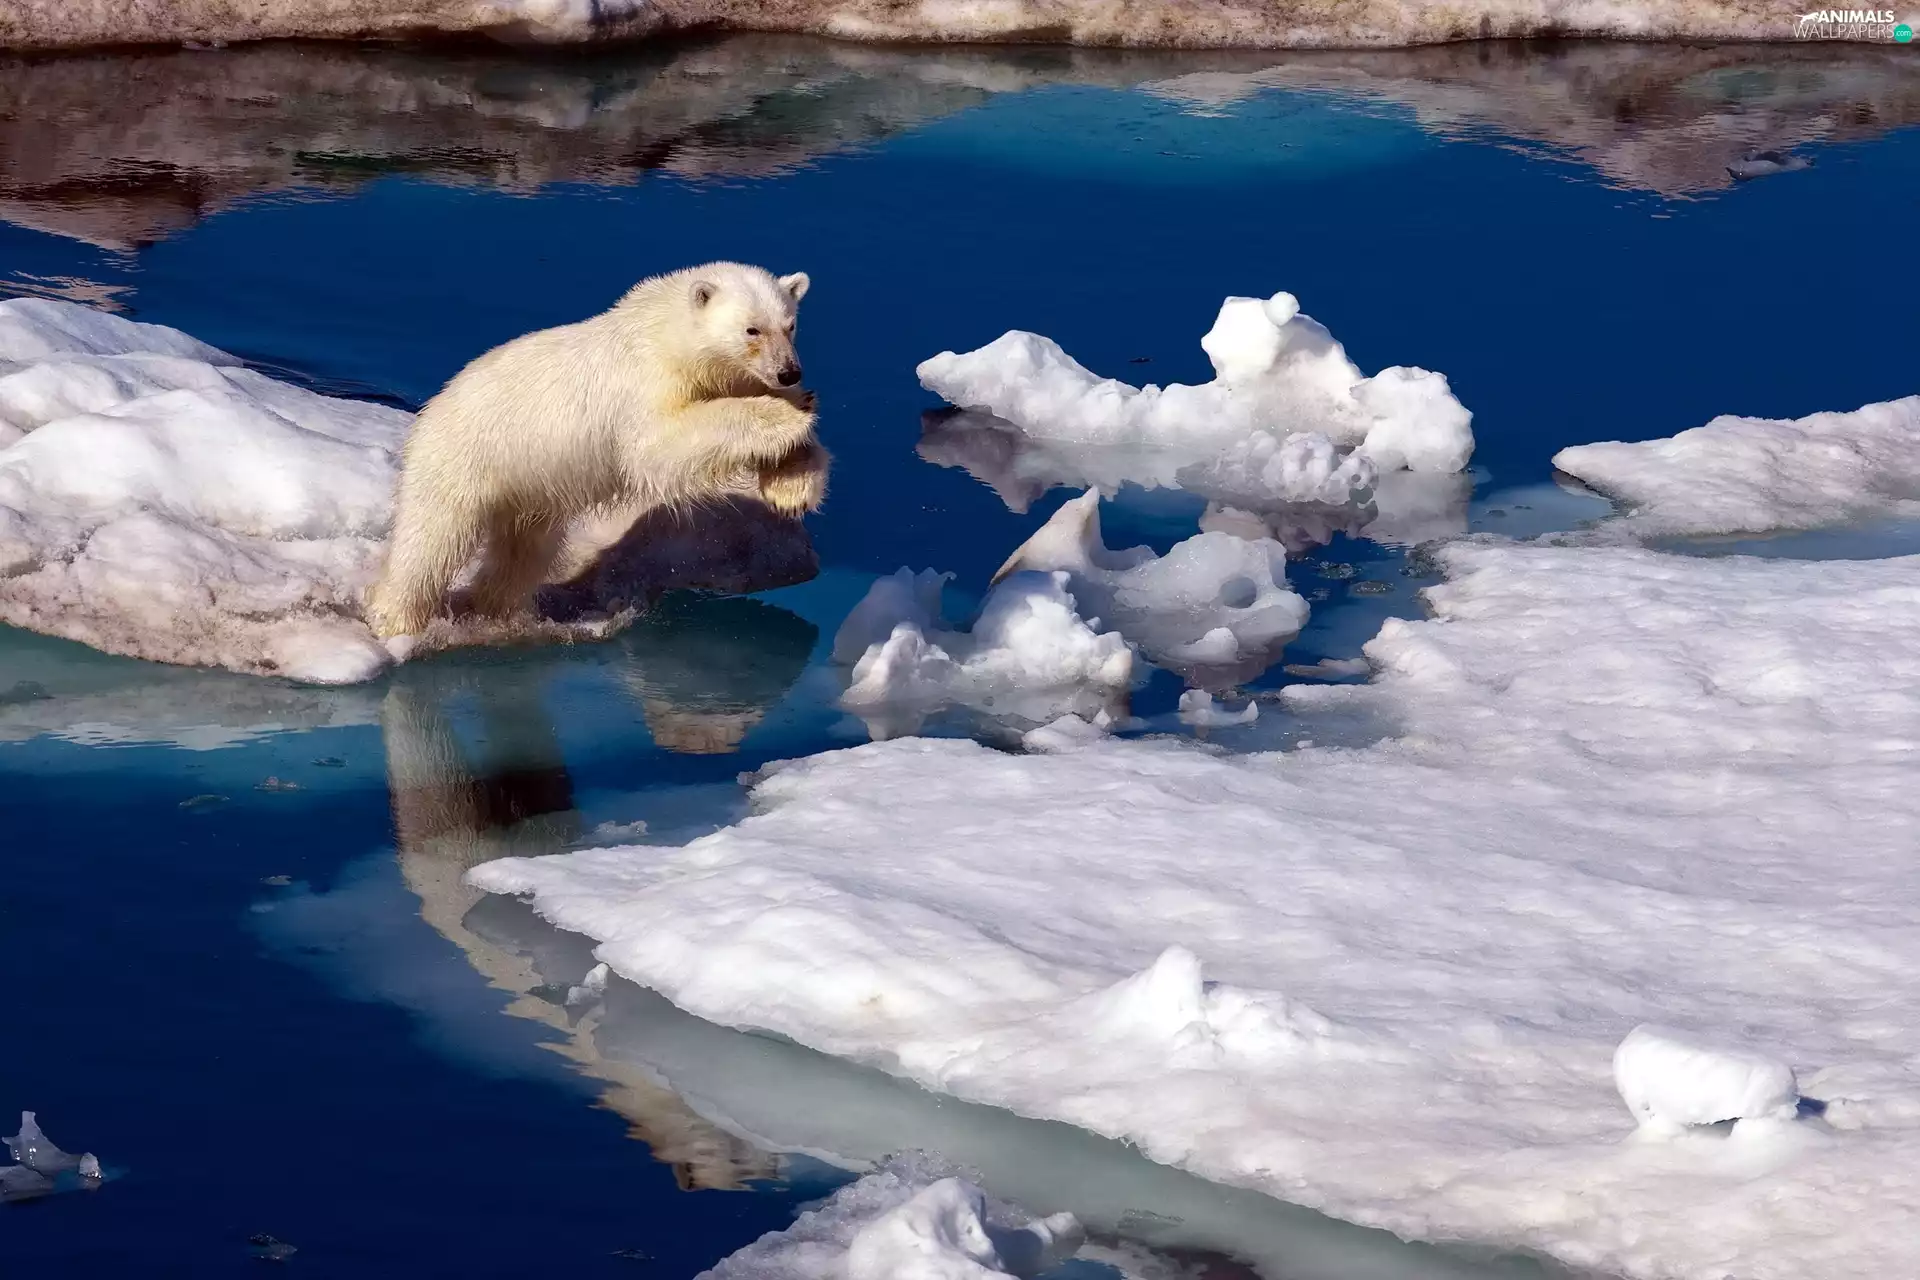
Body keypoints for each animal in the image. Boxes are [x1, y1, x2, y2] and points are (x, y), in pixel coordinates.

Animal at [365, 262, 827, 640]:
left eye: (790, 325)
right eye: (752, 329)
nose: (790, 372)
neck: (665, 332)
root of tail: (431, 409)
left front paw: (792, 487)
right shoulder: (645, 380)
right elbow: (662, 444)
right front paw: (788, 413)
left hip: (529, 488)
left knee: (524, 549)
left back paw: (496, 610)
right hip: (462, 458)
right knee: (431, 540)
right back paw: (395, 620)